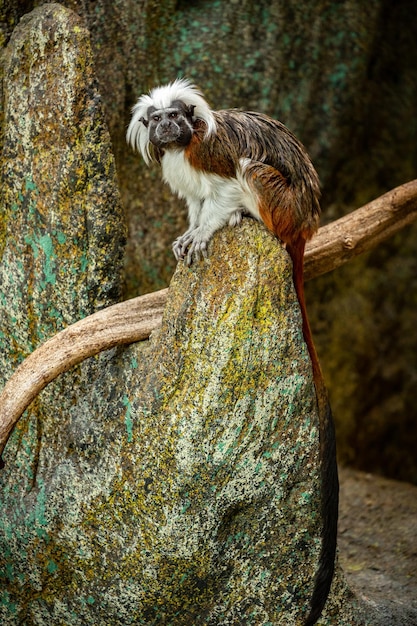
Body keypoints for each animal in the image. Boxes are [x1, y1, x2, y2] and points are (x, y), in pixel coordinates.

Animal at [127, 78, 338, 624]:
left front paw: (206, 230)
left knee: (253, 172)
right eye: (157, 121)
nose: (168, 128)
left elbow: (222, 190)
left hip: (282, 206)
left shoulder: (211, 153)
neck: (183, 146)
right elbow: (198, 200)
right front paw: (190, 231)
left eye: (176, 117)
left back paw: (248, 215)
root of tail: (305, 225)